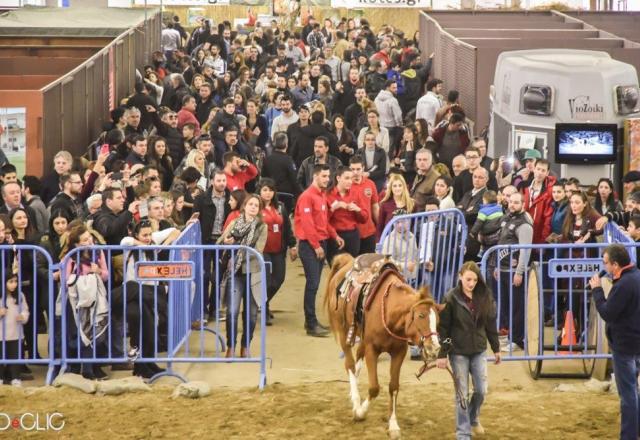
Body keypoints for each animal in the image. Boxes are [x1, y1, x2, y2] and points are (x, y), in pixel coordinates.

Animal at [322, 253, 442, 438]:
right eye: (421, 315)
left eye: (438, 319)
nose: (434, 348)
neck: (390, 312)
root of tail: (346, 262)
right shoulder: (372, 350)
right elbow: (374, 388)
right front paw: (360, 412)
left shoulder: (398, 352)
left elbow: (393, 387)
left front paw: (393, 425)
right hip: (344, 332)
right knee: (349, 364)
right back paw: (356, 400)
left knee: (357, 360)